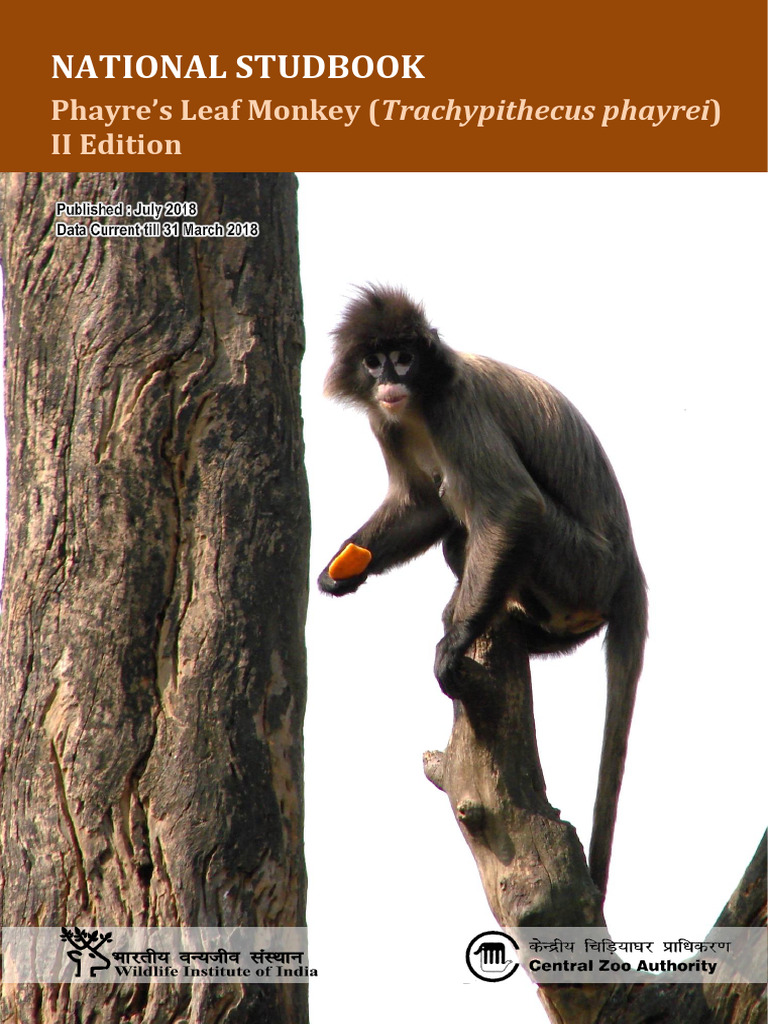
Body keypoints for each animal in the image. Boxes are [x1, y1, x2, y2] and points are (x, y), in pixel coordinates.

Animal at [318, 285, 647, 897]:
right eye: (373, 361)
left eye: (404, 357)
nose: (388, 378)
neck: (419, 403)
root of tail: (629, 567)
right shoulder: (386, 422)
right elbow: (422, 503)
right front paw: (343, 569)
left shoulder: (455, 408)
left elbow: (512, 504)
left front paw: (456, 639)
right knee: (454, 527)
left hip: (581, 564)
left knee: (482, 501)